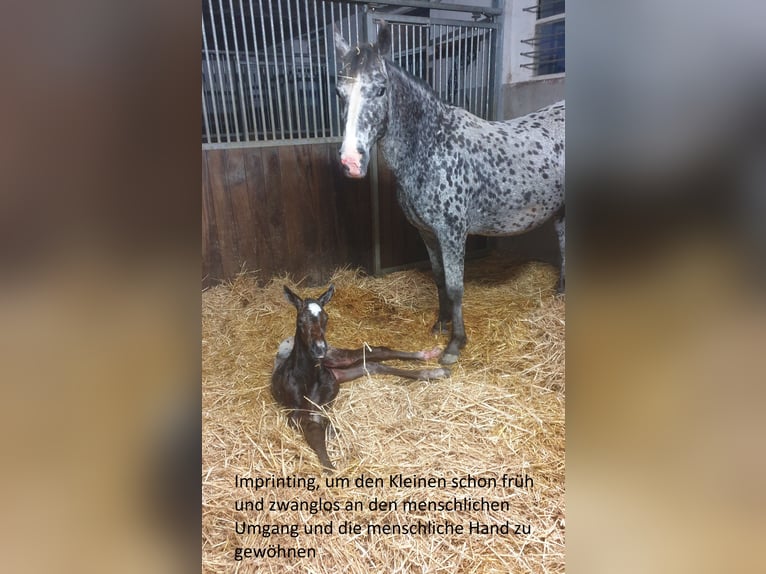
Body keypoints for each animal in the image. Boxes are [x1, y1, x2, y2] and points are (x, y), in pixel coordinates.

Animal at [270, 284, 450, 472]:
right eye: (300, 320)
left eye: (326, 318)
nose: (319, 349)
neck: (308, 377)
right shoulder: (299, 413)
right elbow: (317, 429)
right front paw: (330, 467)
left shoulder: (315, 408)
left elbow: (317, 429)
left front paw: (331, 467)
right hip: (339, 372)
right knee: (371, 365)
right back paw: (435, 370)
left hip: (337, 359)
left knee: (377, 352)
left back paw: (430, 358)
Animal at [334, 24, 564, 364]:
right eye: (340, 92)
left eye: (380, 89)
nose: (350, 161)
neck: (433, 145)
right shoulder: (428, 233)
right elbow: (439, 278)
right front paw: (440, 325)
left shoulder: (452, 233)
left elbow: (456, 287)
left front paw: (455, 344)